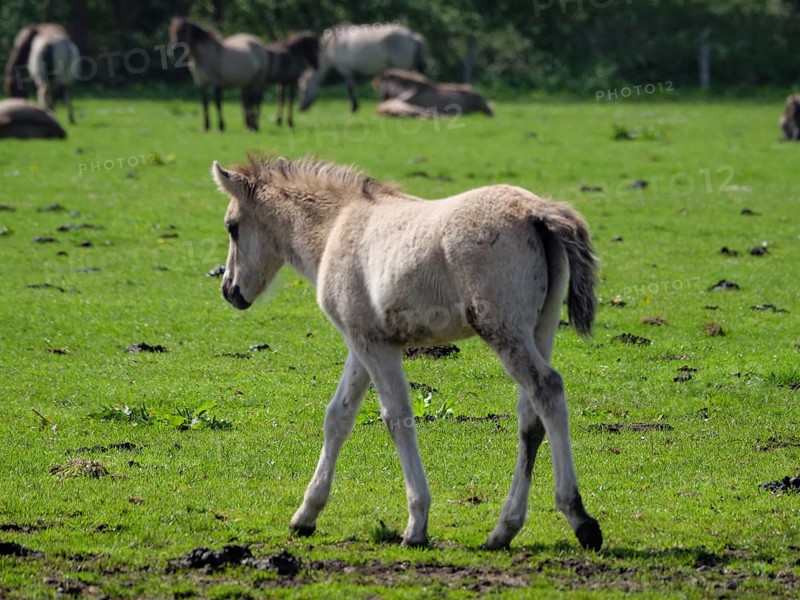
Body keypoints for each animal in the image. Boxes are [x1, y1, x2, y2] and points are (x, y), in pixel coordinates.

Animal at [211, 155, 603, 552]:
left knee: (547, 389)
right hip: (542, 327)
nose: (229, 289)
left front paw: (416, 524)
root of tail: (535, 210)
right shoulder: (362, 341)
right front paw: (306, 515)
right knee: (530, 415)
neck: (336, 226)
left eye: (232, 227)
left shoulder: (373, 344)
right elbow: (338, 417)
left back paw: (579, 517)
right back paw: (503, 530)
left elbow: (396, 418)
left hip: (504, 330)